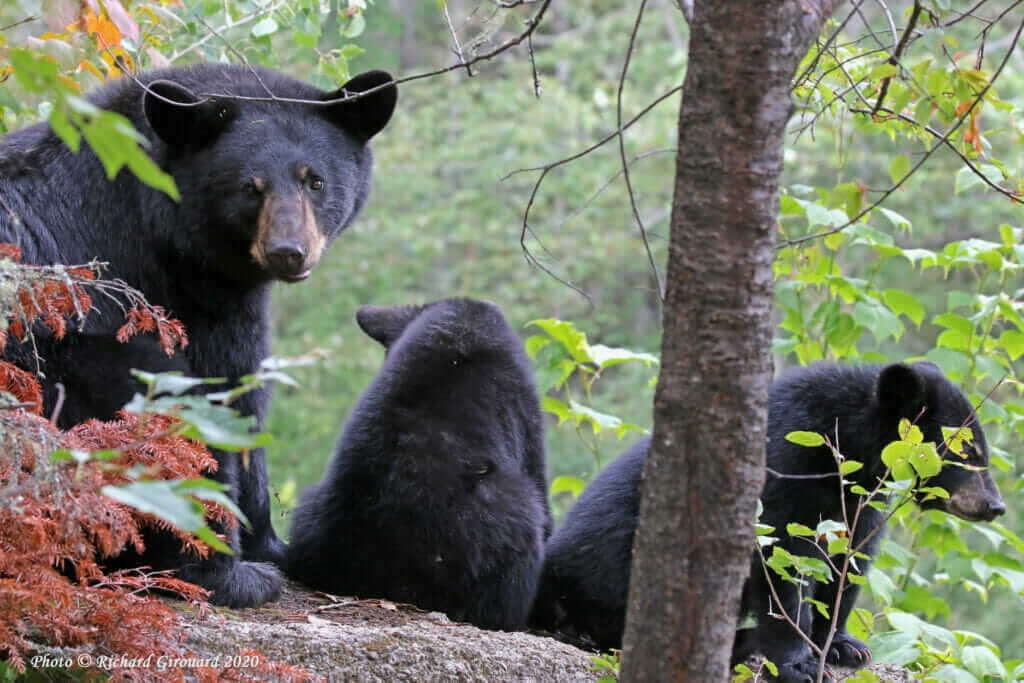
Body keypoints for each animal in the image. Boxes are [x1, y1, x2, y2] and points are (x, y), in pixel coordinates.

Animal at [0, 63, 398, 607]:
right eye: (250, 187)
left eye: (315, 181)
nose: (288, 251)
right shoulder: (183, 295)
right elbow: (230, 394)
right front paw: (256, 555)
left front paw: (270, 542)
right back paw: (224, 576)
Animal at [530, 361, 1006, 681]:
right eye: (966, 450)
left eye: (979, 447)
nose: (995, 506)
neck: (844, 448)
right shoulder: (780, 469)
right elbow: (780, 562)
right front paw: (800, 662)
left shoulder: (857, 503)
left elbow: (848, 561)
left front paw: (846, 646)